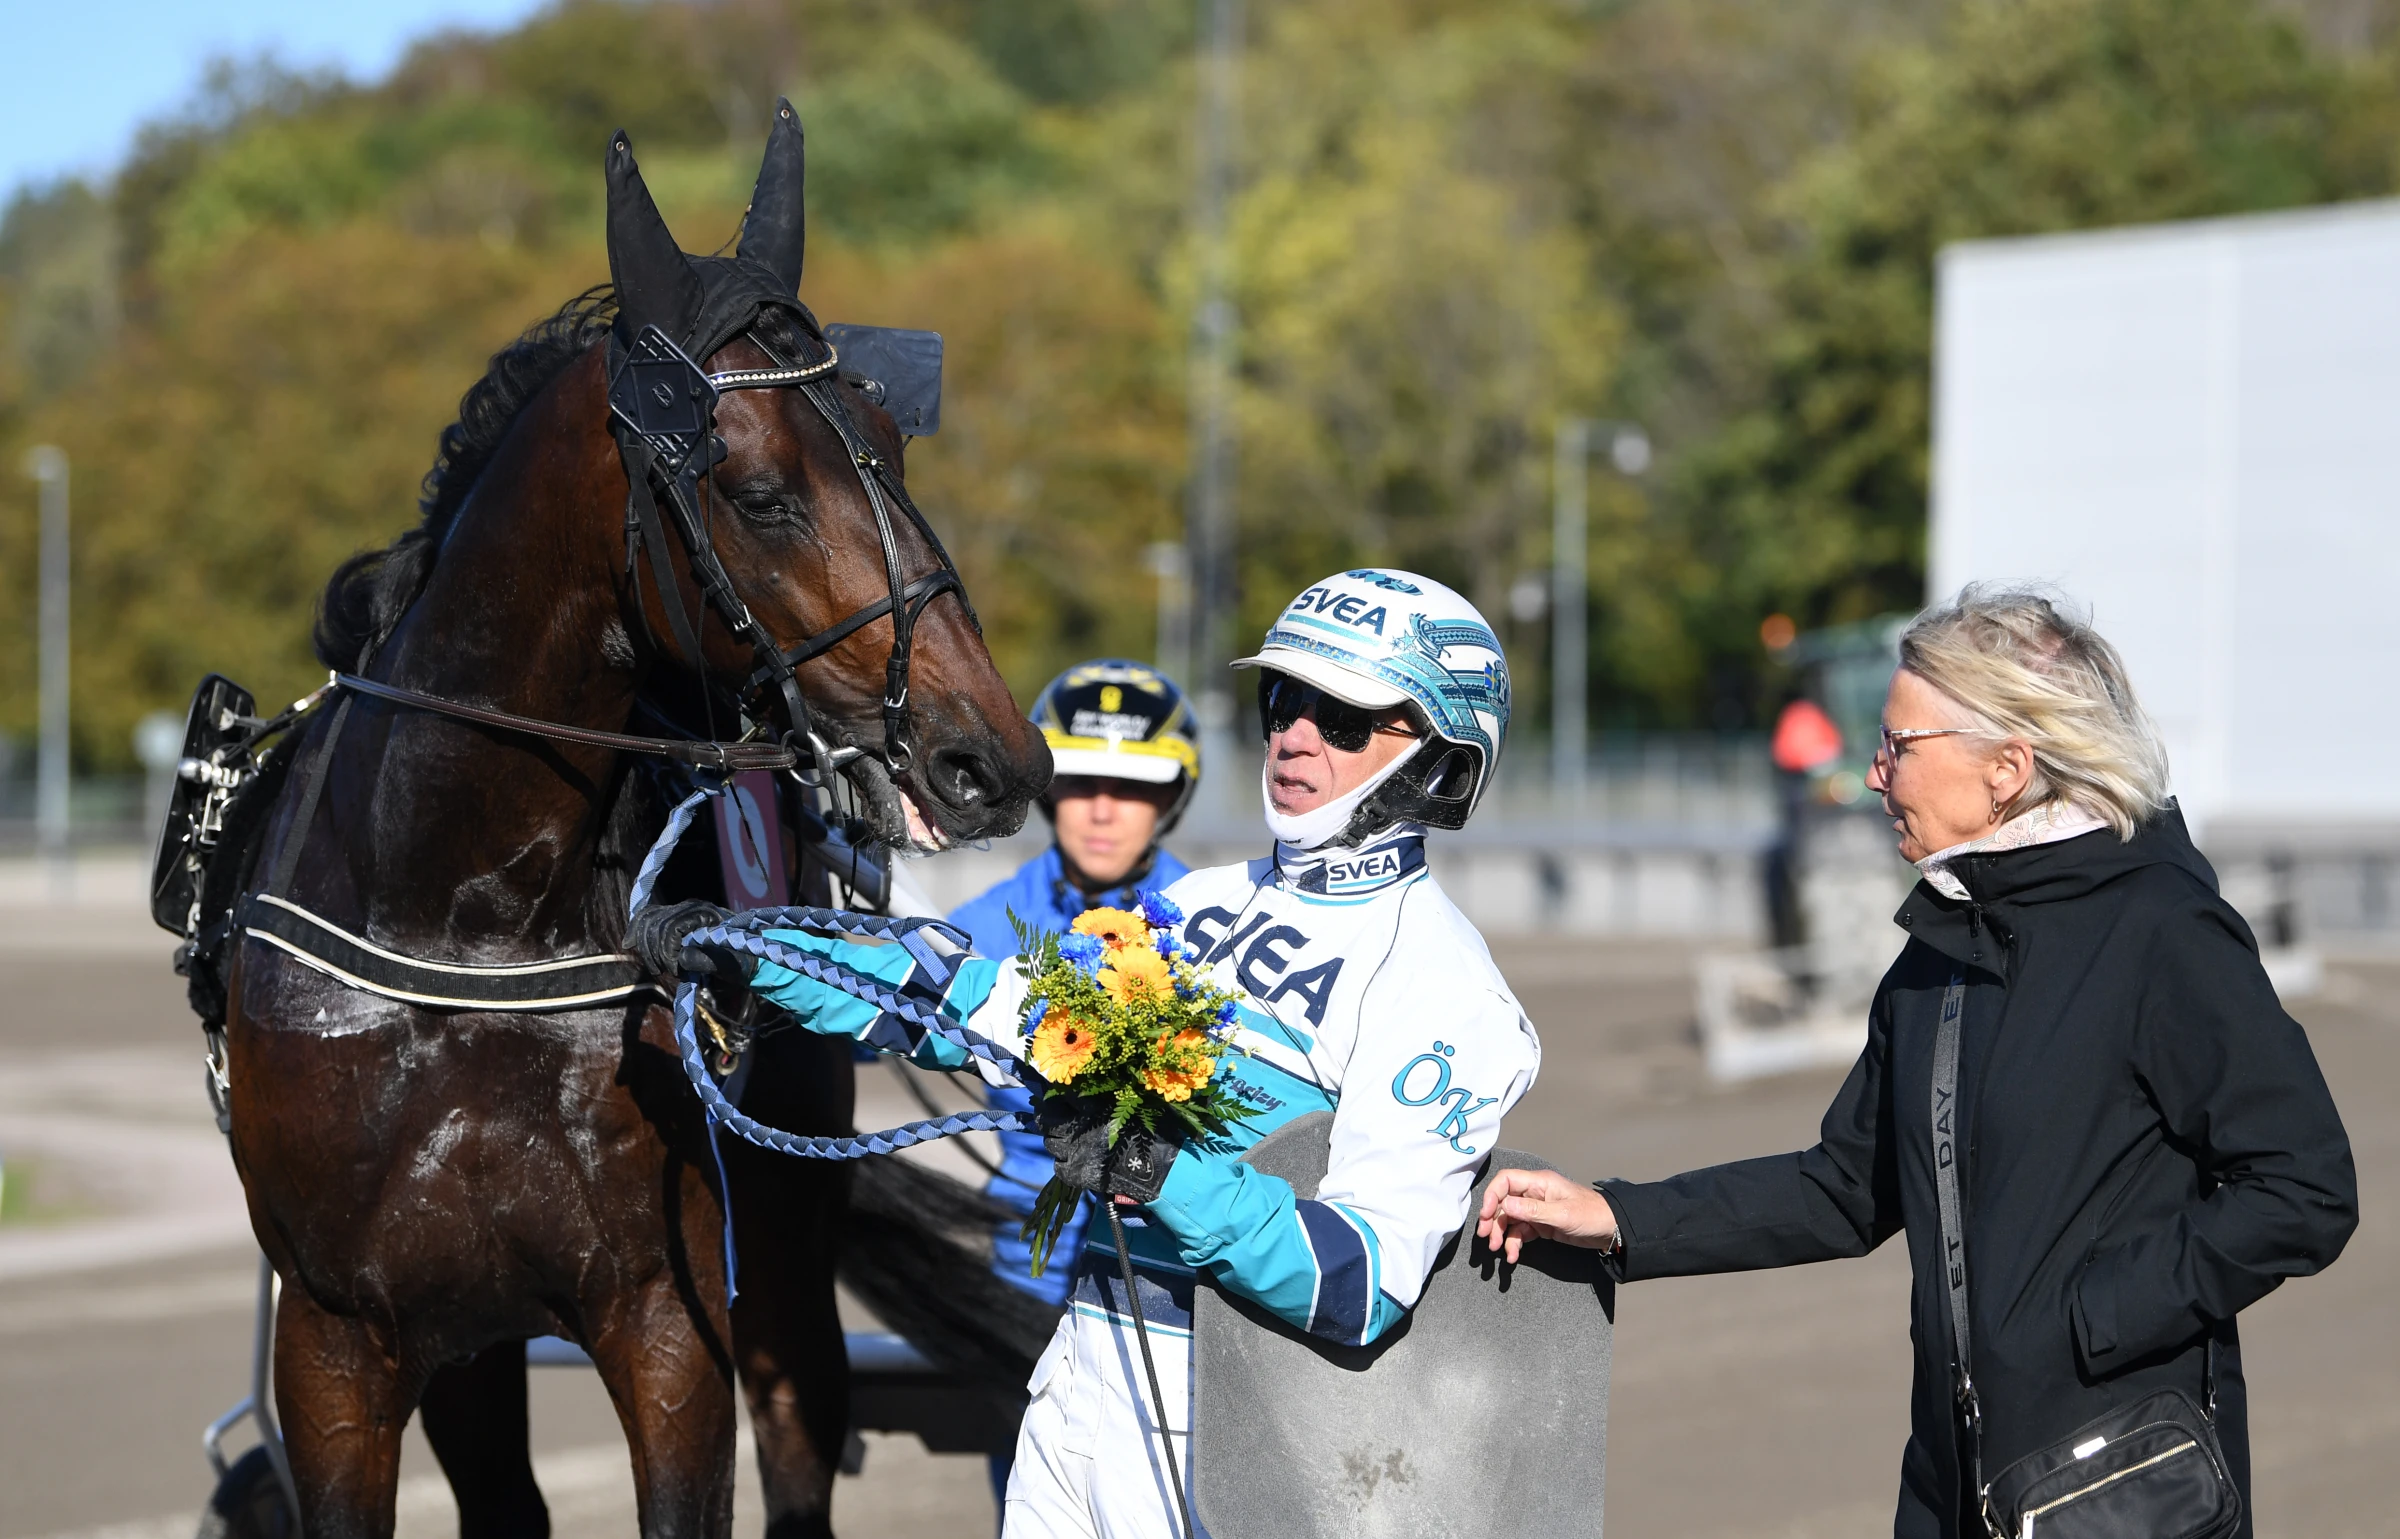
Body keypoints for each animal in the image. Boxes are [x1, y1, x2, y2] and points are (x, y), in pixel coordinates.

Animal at [220, 102, 1046, 1526]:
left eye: (888, 446)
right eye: (761, 493)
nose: (990, 754)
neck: (462, 918)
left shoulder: (668, 1320)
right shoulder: (337, 1342)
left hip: (781, 1262)